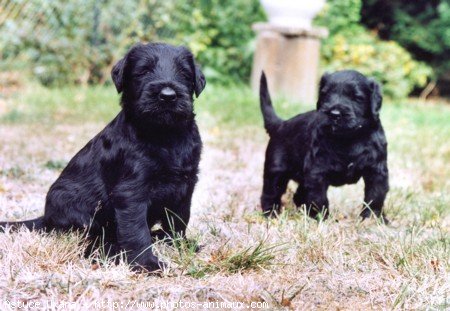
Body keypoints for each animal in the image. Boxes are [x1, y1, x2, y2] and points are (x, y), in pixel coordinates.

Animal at [0, 42, 207, 272]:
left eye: (184, 73)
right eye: (143, 71)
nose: (168, 95)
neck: (165, 135)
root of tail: (47, 218)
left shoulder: (185, 185)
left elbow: (179, 219)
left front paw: (179, 244)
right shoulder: (131, 192)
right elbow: (136, 230)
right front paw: (147, 263)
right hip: (81, 213)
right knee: (93, 241)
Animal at [260, 70, 390, 222]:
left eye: (356, 97)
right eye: (325, 94)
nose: (334, 114)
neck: (348, 138)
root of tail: (280, 124)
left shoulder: (376, 171)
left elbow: (375, 196)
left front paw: (372, 218)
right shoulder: (317, 172)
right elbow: (318, 198)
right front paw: (321, 218)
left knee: (298, 194)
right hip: (276, 170)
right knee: (271, 192)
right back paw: (271, 214)